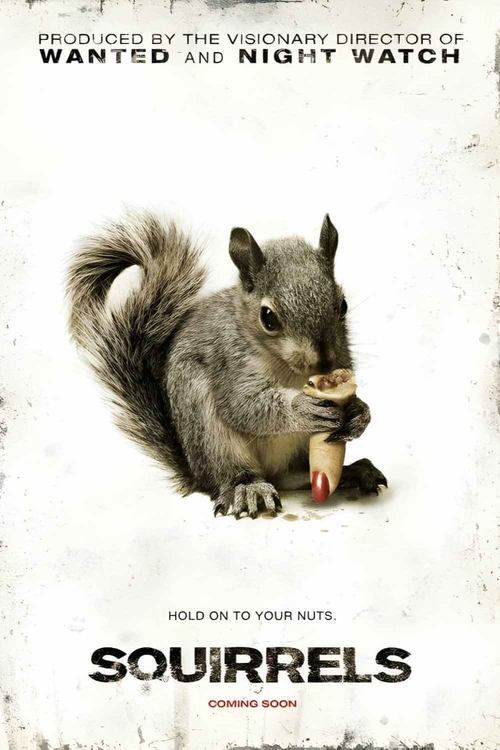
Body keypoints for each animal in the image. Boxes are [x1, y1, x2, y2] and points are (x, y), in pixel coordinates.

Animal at [67, 212, 387, 518]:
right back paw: (247, 488)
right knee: (232, 473)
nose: (322, 361)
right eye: (268, 317)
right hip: (207, 427)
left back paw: (352, 472)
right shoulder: (229, 361)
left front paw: (359, 412)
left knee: (292, 477)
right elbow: (243, 405)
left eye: (342, 304)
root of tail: (197, 475)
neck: (292, 372)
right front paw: (301, 408)